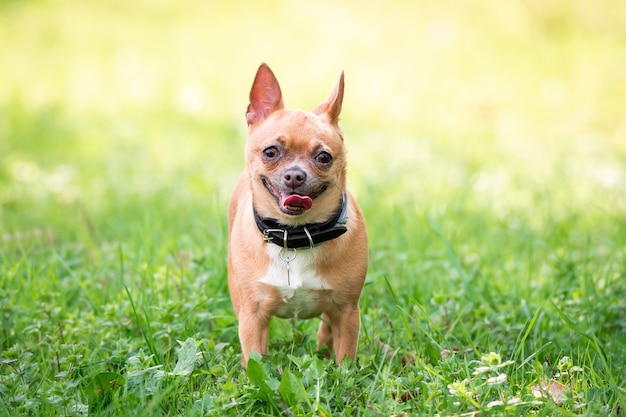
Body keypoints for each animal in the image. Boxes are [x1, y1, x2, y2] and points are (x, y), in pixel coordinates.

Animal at [228, 62, 366, 364]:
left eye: (323, 157)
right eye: (270, 152)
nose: (294, 175)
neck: (295, 234)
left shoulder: (348, 312)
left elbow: (345, 359)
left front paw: (343, 373)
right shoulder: (253, 316)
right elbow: (254, 360)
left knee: (326, 329)